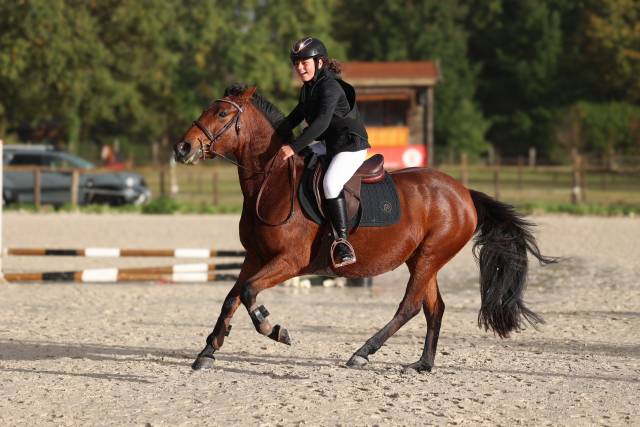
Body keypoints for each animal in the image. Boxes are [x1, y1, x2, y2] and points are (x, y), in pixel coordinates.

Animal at [173, 86, 556, 372]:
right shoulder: (255, 257)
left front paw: (275, 329)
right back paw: (423, 364)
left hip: (430, 257)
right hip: (423, 259)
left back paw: (362, 352)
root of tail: (463, 193)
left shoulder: (289, 261)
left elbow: (250, 292)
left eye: (222, 114)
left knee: (409, 306)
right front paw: (207, 352)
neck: (272, 182)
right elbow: (233, 296)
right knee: (434, 308)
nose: (182, 147)